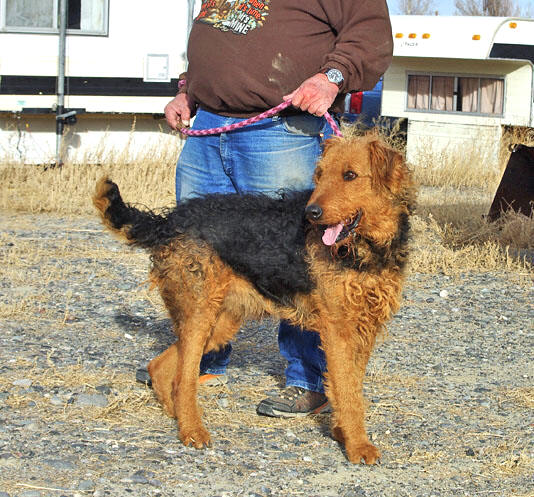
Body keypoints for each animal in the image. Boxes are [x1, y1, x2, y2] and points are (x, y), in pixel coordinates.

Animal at [94, 134, 416, 464]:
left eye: (350, 175)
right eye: (320, 175)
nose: (311, 214)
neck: (367, 249)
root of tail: (168, 221)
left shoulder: (364, 327)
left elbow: (349, 386)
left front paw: (344, 434)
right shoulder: (338, 330)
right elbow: (348, 391)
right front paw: (359, 446)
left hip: (219, 322)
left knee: (161, 367)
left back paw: (178, 418)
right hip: (199, 315)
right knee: (184, 379)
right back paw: (193, 431)